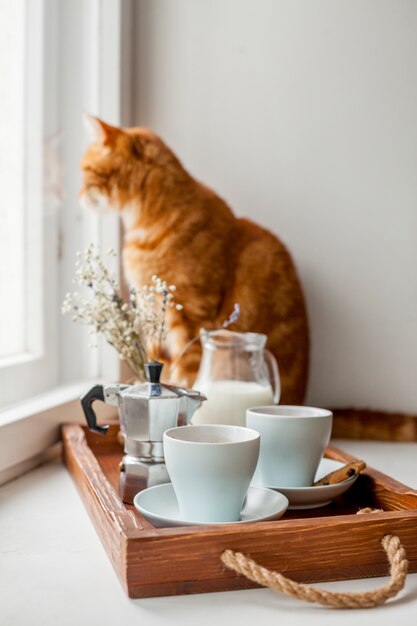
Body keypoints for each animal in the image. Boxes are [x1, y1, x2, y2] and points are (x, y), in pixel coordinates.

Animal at [80, 114, 308, 402]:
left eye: (85, 171)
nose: (77, 196)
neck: (143, 225)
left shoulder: (191, 315)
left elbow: (188, 372)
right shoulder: (155, 320)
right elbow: (162, 365)